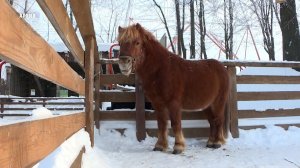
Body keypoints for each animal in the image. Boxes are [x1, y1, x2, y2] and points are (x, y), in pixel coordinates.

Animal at [117, 23, 230, 154]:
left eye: (137, 42)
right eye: (119, 43)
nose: (124, 63)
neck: (161, 70)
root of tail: (222, 68)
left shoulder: (174, 104)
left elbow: (175, 124)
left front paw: (178, 147)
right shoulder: (158, 104)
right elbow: (161, 124)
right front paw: (160, 146)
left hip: (218, 103)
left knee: (218, 120)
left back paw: (217, 143)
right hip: (207, 105)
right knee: (212, 122)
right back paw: (210, 142)